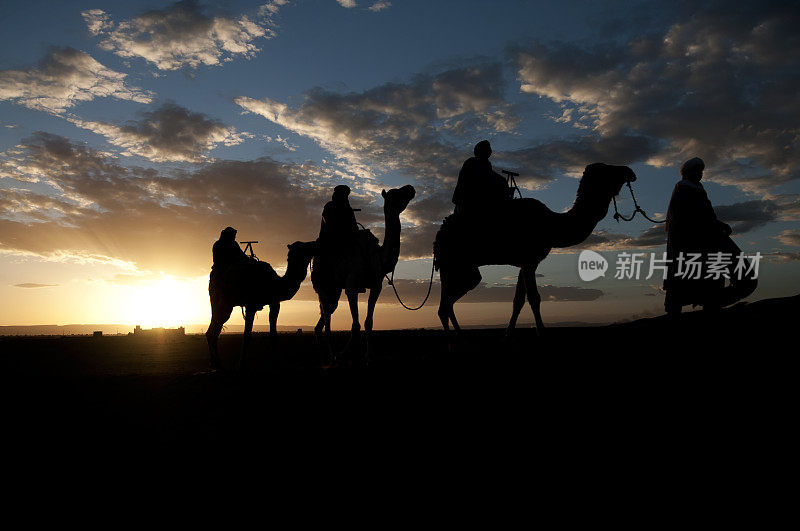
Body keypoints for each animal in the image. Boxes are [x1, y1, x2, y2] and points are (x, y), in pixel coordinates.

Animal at [206, 241, 318, 370]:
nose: (315, 243)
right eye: (305, 246)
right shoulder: (250, 305)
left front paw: (276, 362)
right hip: (222, 302)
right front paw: (241, 364)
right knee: (214, 329)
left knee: (213, 330)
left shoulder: (274, 303)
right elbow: (247, 335)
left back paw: (215, 363)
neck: (274, 283)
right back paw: (217, 364)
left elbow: (273, 334)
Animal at [310, 185, 416, 360]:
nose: (410, 188)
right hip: (322, 284)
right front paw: (349, 355)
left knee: (325, 316)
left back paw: (324, 352)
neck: (376, 256)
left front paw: (368, 356)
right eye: (395, 193)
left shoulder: (376, 286)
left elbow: (368, 322)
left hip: (335, 290)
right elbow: (355, 325)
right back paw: (332, 354)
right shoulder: (351, 287)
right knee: (327, 315)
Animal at [434, 164, 636, 342]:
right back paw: (454, 340)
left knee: (448, 302)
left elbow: (518, 300)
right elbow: (534, 297)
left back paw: (460, 337)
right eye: (607, 169)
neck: (551, 225)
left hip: (456, 268)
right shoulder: (530, 260)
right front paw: (542, 334)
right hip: (454, 264)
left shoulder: (526, 263)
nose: (630, 172)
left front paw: (508, 335)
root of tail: (439, 235)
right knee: (446, 304)